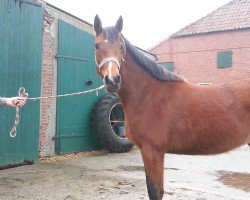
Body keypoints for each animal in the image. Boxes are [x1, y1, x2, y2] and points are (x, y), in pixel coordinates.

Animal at [93, 14, 250, 199]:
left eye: (121, 46)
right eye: (97, 45)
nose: (113, 80)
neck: (148, 94)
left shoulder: (152, 151)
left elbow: (155, 191)